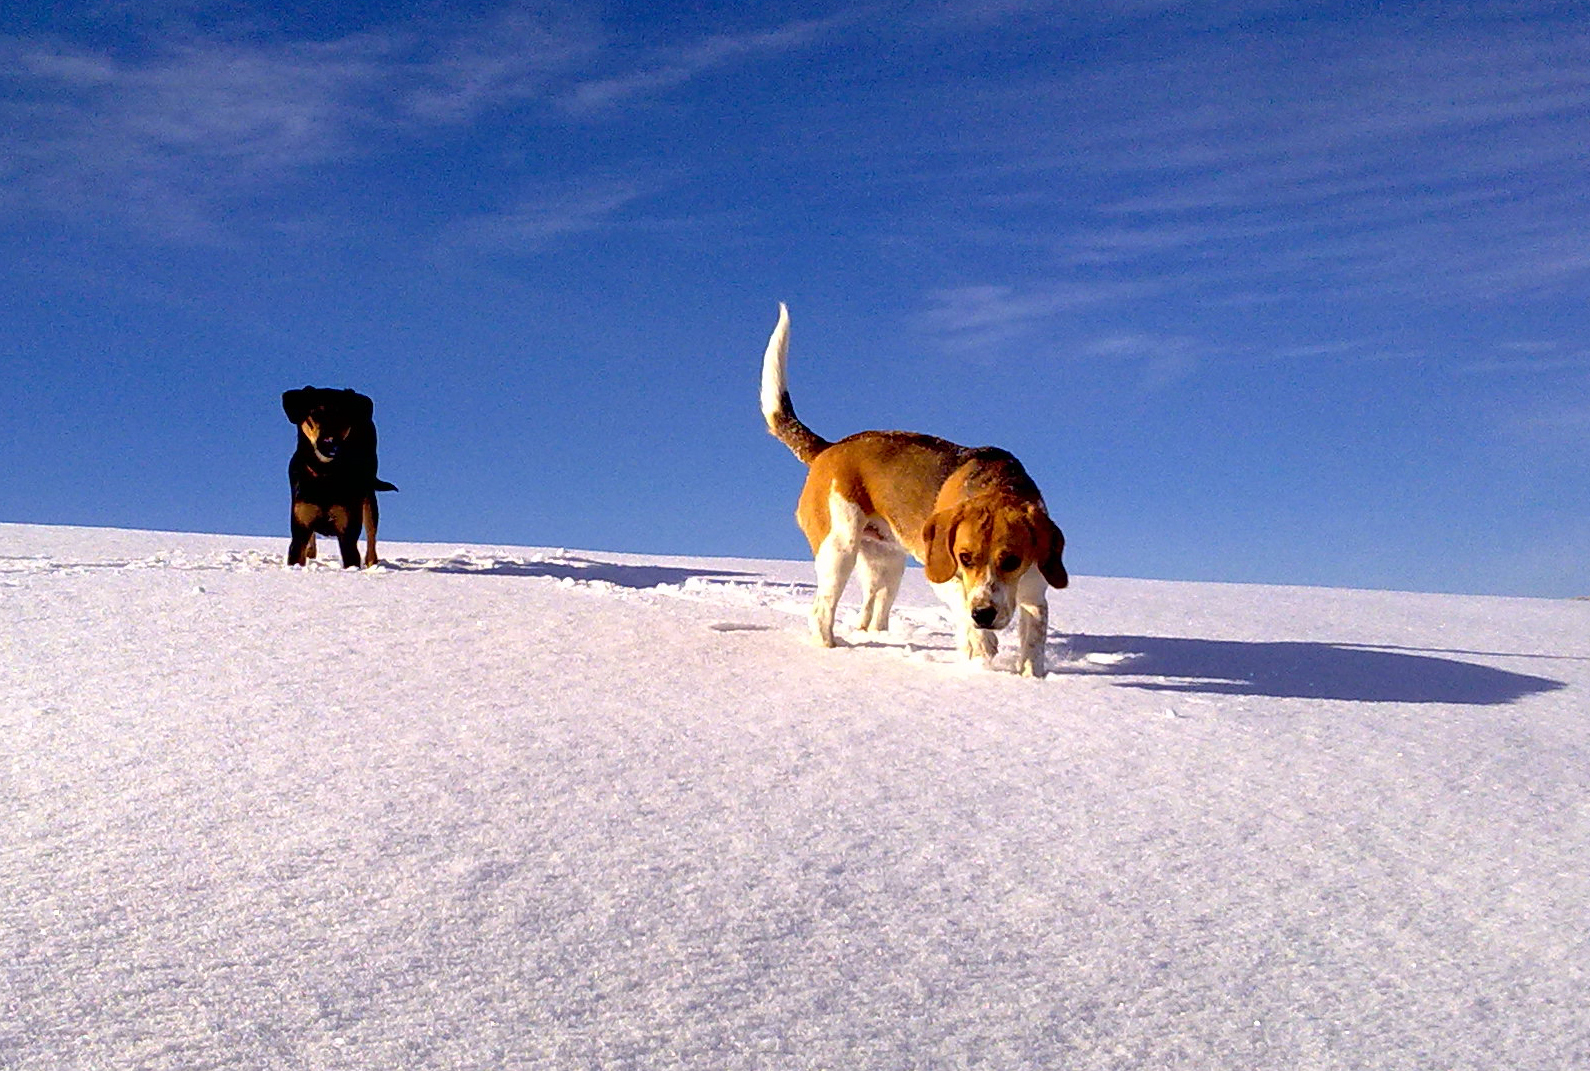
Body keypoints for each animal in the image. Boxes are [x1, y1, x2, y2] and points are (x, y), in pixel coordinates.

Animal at [279, 384, 394, 565]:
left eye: (342, 415)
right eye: (315, 414)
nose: (329, 443)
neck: (325, 474)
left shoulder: (347, 532)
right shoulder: (300, 529)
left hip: (369, 495)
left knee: (371, 537)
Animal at [760, 300, 1068, 676]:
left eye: (1011, 560)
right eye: (965, 557)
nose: (983, 614)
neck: (997, 485)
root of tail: (829, 448)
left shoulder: (1035, 595)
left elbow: (1033, 643)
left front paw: (1031, 680)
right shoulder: (946, 579)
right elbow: (967, 618)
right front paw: (981, 648)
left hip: (887, 563)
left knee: (872, 614)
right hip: (839, 548)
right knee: (820, 611)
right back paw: (832, 648)